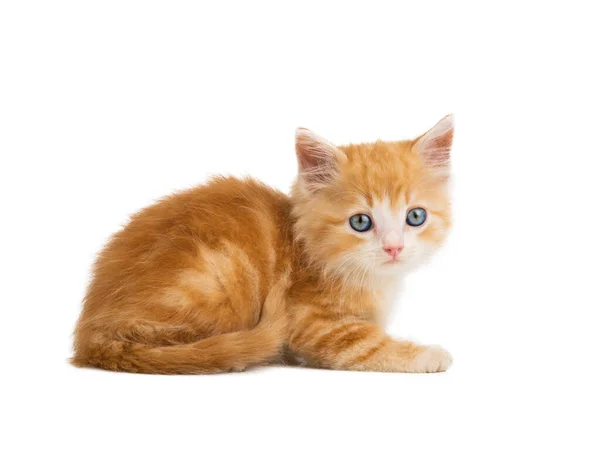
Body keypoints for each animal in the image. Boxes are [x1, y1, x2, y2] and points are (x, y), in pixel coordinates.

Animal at [72, 115, 452, 372]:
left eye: (415, 217)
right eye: (361, 222)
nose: (394, 248)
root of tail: (88, 330)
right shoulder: (314, 322)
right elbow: (366, 344)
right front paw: (429, 354)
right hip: (216, 277)